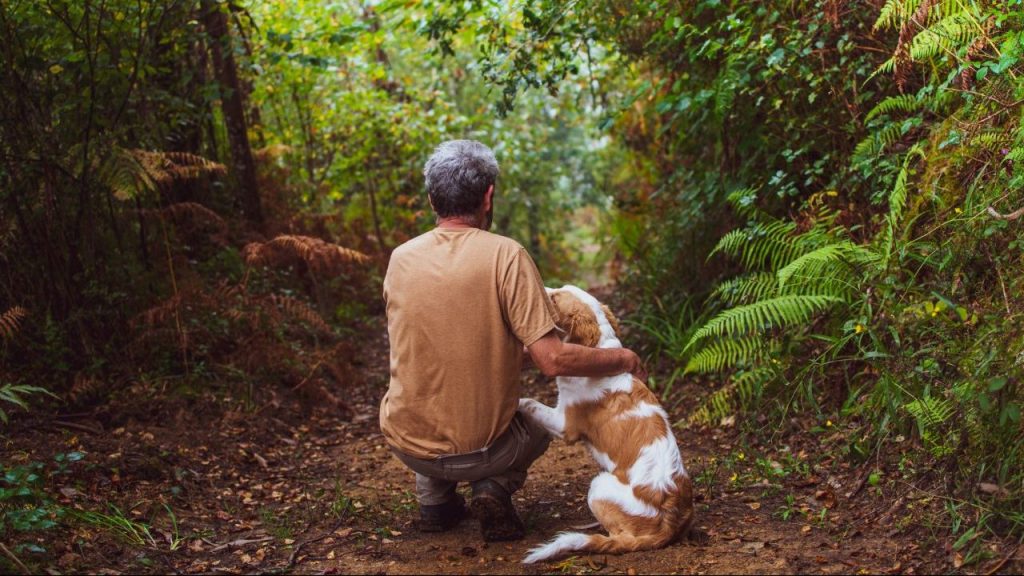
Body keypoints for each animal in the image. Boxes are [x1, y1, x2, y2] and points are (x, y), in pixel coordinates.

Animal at [520, 284, 696, 561]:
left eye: (555, 298)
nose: (540, 287)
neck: (598, 348)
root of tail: (668, 525)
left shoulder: (564, 424)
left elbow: (527, 401)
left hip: (598, 484)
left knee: (616, 537)